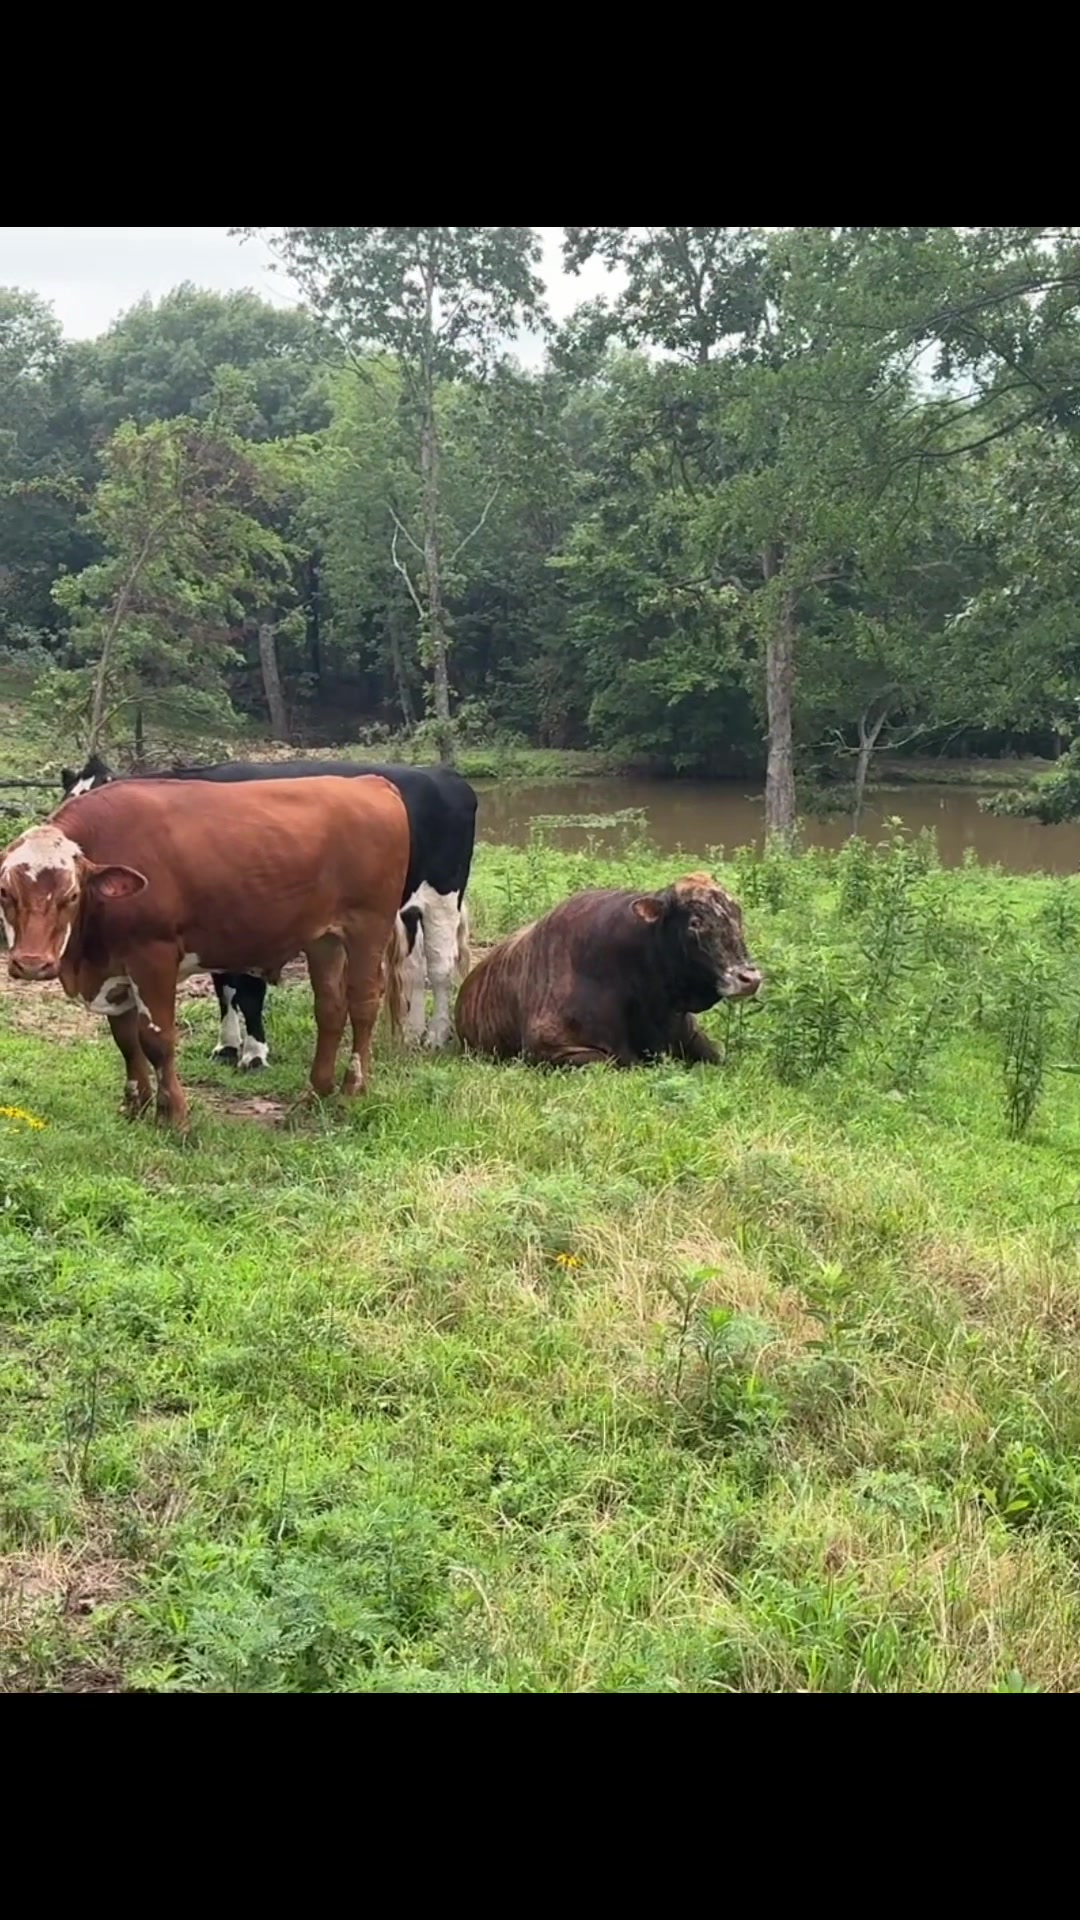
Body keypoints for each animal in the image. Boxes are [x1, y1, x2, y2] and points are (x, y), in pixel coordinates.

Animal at [1, 775, 410, 1128]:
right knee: (330, 1008)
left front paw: (173, 1116)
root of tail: (369, 781)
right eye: (5, 892)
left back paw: (353, 1090)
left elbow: (156, 1039)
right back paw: (314, 1094)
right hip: (323, 939)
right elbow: (125, 1039)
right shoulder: (114, 969)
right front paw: (135, 1106)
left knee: (363, 1005)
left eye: (71, 896)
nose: (32, 964)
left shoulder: (153, 956)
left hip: (367, 928)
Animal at [61, 752, 478, 1065]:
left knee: (440, 968)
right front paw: (228, 1046)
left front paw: (254, 1052)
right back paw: (412, 1034)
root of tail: (446, 776)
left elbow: (247, 990)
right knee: (412, 967)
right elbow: (223, 988)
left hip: (442, 897)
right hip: (406, 907)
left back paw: (436, 1035)